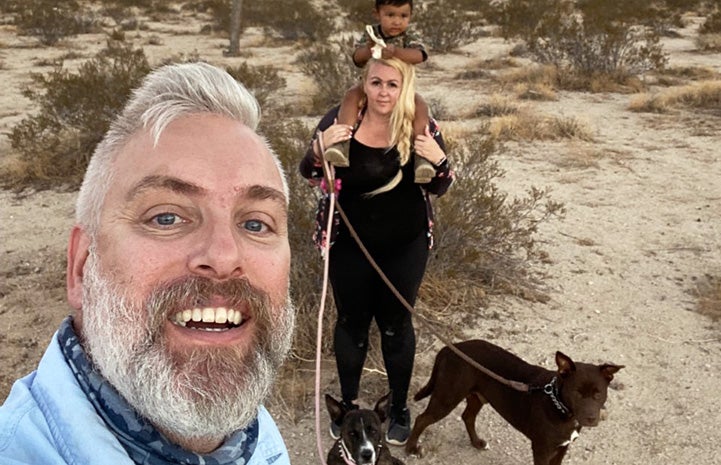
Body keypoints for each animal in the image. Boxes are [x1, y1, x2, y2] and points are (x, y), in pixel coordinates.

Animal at [402, 338, 620, 464]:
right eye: (577, 393)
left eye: (598, 394)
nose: (591, 419)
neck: (557, 403)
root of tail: (449, 349)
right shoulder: (542, 450)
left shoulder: (562, 448)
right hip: (447, 397)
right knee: (422, 419)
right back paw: (411, 449)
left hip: (477, 396)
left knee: (467, 416)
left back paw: (477, 443)